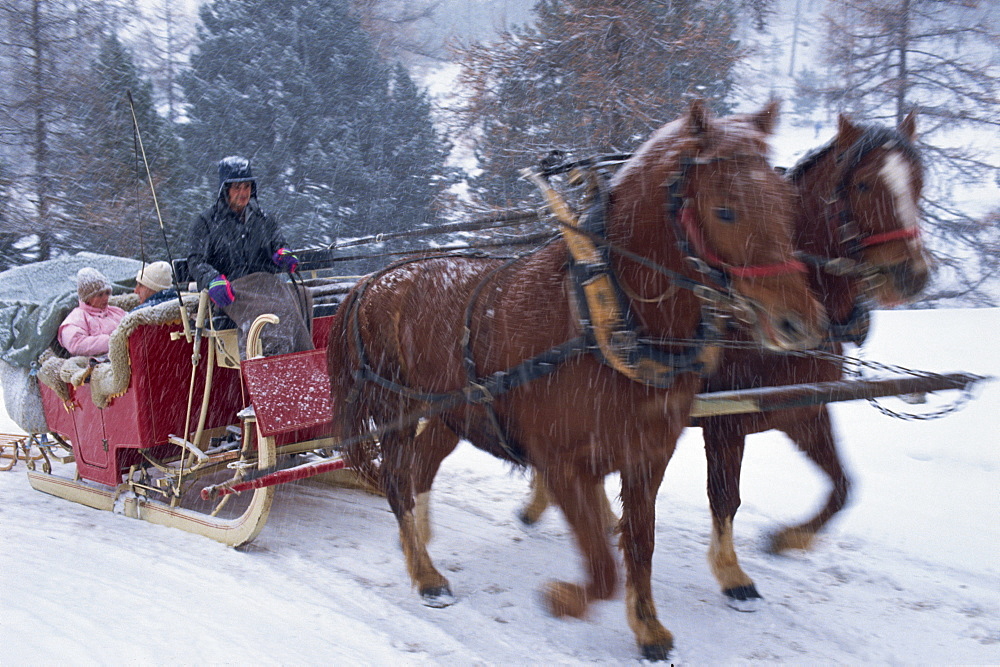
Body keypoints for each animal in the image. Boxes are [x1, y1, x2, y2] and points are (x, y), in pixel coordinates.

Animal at [332, 99, 824, 664]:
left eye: (788, 202)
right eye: (725, 210)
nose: (800, 322)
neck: (606, 316)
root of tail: (372, 280)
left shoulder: (647, 454)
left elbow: (638, 543)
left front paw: (648, 627)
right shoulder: (563, 464)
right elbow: (603, 566)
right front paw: (563, 599)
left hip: (449, 410)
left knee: (421, 468)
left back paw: (419, 541)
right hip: (395, 410)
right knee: (397, 481)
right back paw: (425, 574)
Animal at [524, 109, 928, 612]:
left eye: (919, 181)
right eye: (865, 184)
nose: (911, 275)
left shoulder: (803, 410)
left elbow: (843, 486)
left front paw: (788, 539)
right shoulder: (724, 424)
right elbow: (725, 498)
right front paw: (731, 572)